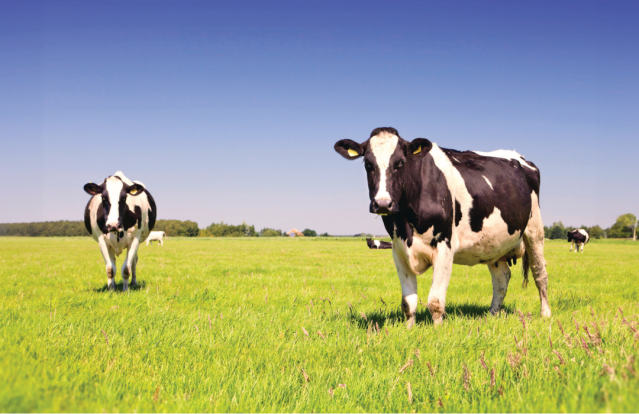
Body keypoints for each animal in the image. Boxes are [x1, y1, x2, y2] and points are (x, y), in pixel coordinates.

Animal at [338, 126, 552, 326]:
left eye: (401, 162)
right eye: (368, 164)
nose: (383, 203)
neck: (407, 224)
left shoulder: (445, 245)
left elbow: (435, 301)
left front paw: (437, 330)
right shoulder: (398, 249)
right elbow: (408, 303)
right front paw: (409, 329)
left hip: (534, 229)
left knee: (539, 272)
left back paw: (545, 313)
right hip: (494, 244)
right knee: (502, 278)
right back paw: (491, 315)